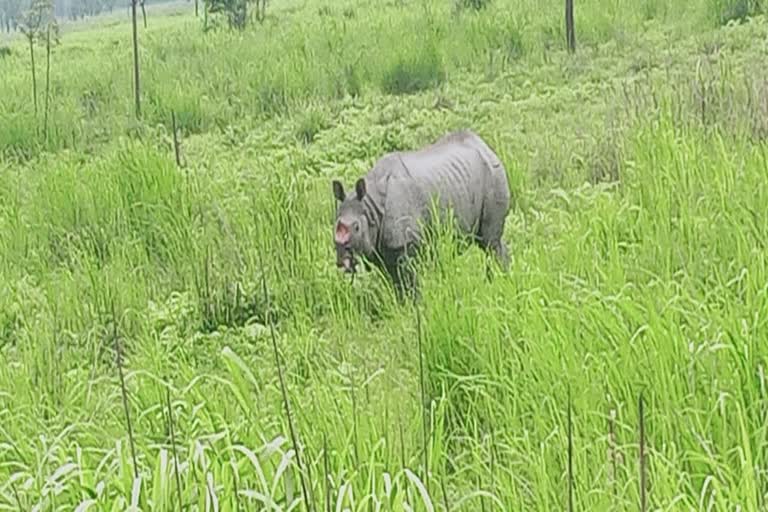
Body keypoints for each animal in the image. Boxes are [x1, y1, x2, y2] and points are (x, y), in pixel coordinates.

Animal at [330, 129, 510, 300]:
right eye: (335, 226)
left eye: (356, 227)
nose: (341, 261)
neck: (370, 207)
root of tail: (484, 145)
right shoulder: (382, 250)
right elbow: (397, 286)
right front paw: (403, 307)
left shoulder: (406, 244)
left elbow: (411, 283)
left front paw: (417, 307)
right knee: (491, 241)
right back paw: (502, 279)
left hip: (493, 173)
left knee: (490, 242)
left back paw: (495, 283)